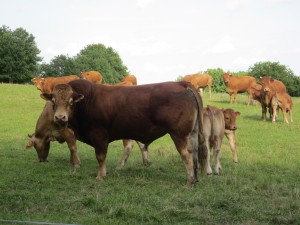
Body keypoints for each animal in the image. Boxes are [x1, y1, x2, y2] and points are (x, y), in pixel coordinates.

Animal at [39, 79, 209, 186]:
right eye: (53, 101)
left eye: (70, 101)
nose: (60, 117)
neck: (87, 101)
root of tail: (181, 83)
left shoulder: (99, 135)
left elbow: (100, 156)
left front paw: (100, 176)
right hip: (192, 134)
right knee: (194, 154)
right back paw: (195, 179)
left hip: (179, 135)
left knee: (187, 155)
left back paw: (189, 181)